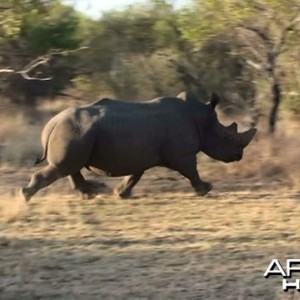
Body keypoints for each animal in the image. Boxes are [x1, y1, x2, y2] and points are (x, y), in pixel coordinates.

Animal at [20, 92, 255, 200]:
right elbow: (191, 171)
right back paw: (26, 196)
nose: (239, 156)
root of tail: (51, 124)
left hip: (74, 133)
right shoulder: (182, 154)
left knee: (69, 167)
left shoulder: (142, 155)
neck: (202, 119)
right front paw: (206, 189)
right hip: (72, 131)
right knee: (63, 167)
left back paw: (93, 193)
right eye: (226, 137)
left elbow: (134, 175)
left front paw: (121, 193)